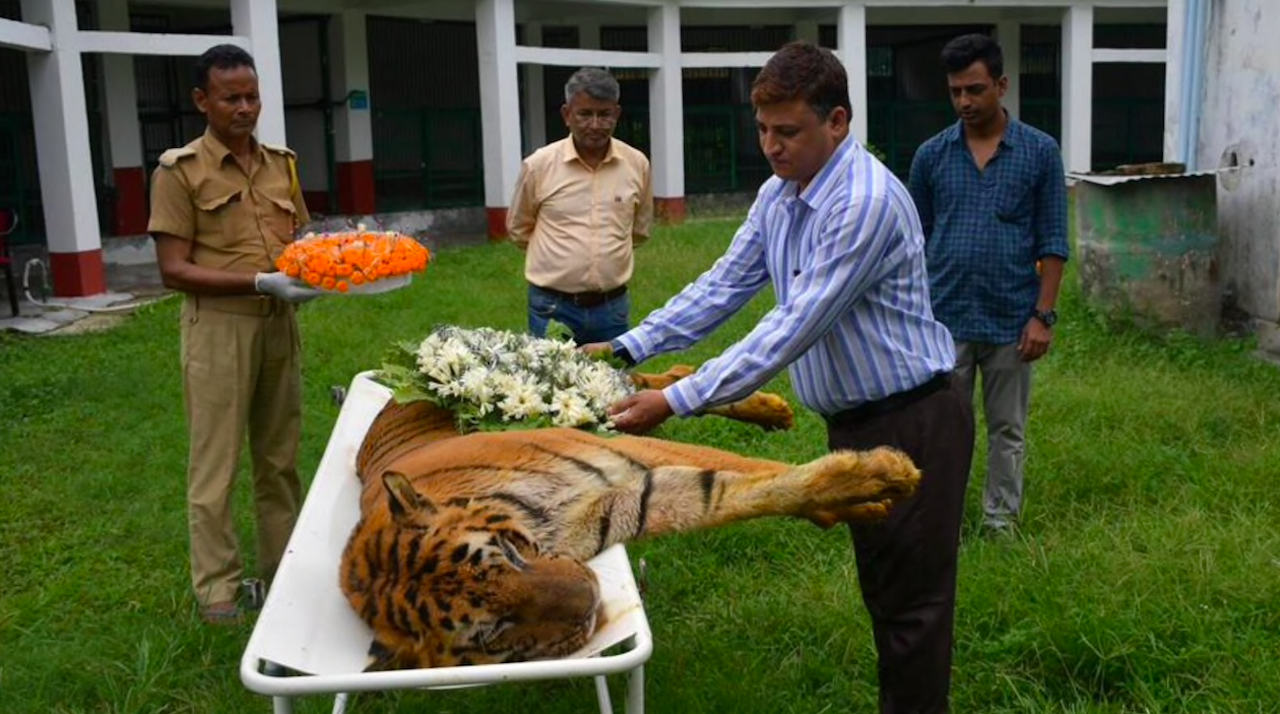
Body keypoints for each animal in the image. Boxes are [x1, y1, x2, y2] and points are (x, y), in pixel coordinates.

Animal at [340, 365, 921, 675]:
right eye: (491, 632)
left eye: (505, 553)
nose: (590, 597)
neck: (547, 530)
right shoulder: (627, 500)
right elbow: (734, 491)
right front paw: (858, 498)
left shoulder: (621, 455)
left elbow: (755, 471)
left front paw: (882, 480)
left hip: (599, 404)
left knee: (664, 381)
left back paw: (772, 410)